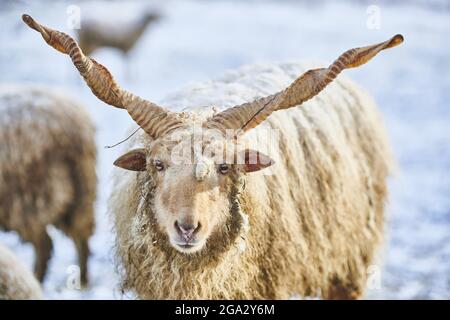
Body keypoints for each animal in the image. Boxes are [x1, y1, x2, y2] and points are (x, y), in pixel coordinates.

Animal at [0, 84, 96, 284]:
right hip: (81, 191)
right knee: (81, 235)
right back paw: (82, 280)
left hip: (29, 196)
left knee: (44, 244)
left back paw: (35, 279)